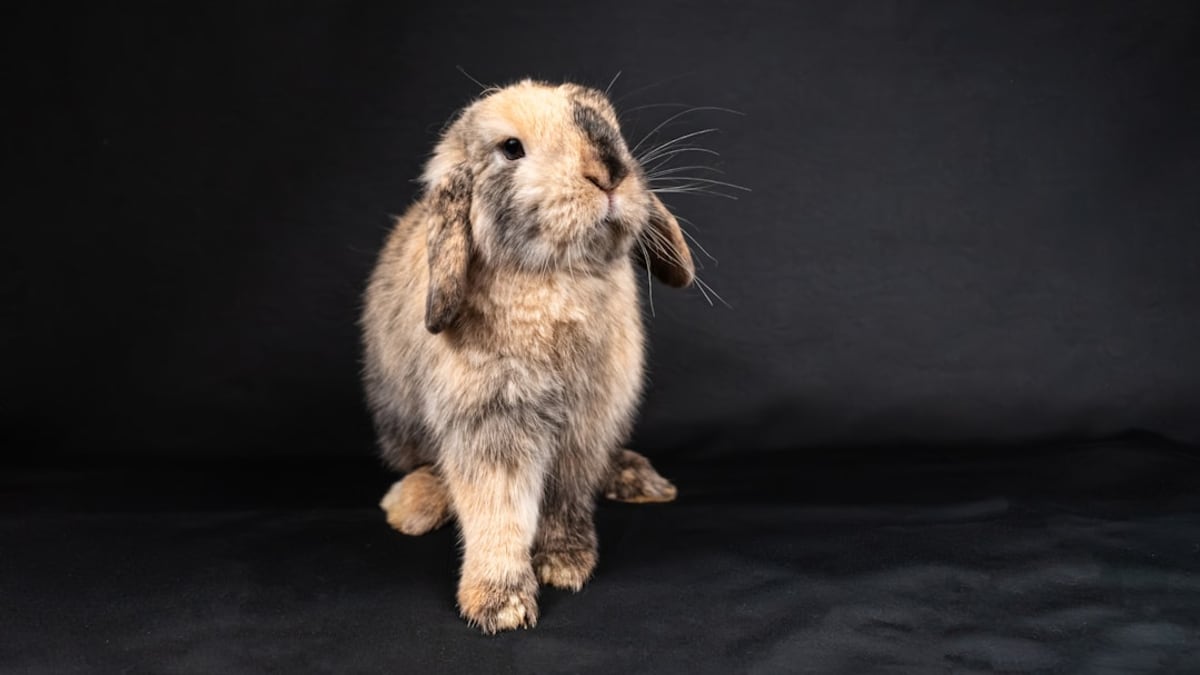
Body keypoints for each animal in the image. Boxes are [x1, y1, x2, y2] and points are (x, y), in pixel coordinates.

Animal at [361, 79, 694, 633]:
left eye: (614, 129)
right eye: (511, 148)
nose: (609, 174)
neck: (555, 277)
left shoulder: (585, 425)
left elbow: (565, 499)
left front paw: (565, 563)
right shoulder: (492, 422)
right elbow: (498, 510)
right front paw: (500, 605)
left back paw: (639, 480)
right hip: (401, 424)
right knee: (427, 467)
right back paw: (411, 507)